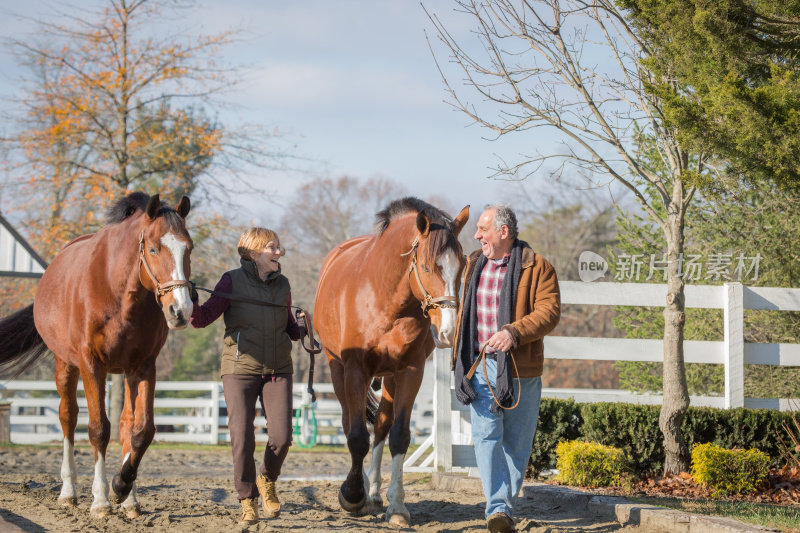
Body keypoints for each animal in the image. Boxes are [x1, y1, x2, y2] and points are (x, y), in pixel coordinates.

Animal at [0, 193, 192, 516]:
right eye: (153, 248)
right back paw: (68, 492)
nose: (180, 310)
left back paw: (130, 500)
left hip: (125, 373)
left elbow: (142, 431)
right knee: (68, 418)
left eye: (188, 248)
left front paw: (122, 487)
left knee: (127, 424)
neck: (118, 292)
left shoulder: (144, 367)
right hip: (65, 366)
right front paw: (101, 499)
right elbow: (98, 429)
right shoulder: (92, 366)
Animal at [312, 196, 468, 524]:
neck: (384, 300)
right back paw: (360, 490)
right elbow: (357, 435)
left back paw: (373, 491)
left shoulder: (410, 372)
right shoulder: (355, 370)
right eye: (427, 266)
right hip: (337, 369)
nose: (448, 332)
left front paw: (397, 507)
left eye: (461, 266)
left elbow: (398, 435)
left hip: (389, 377)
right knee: (349, 422)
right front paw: (351, 495)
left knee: (382, 425)